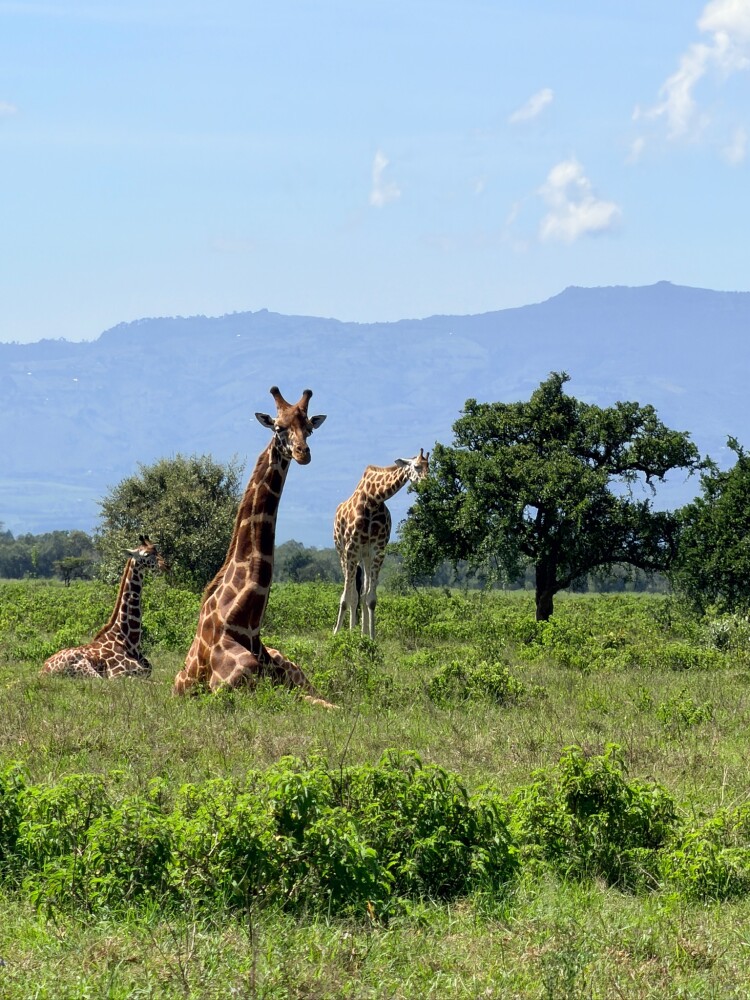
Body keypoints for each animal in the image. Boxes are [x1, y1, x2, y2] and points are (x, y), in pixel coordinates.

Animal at [41, 535, 166, 679]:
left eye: (157, 550)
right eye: (146, 554)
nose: (165, 565)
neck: (129, 642)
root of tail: (42, 671)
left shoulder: (147, 671)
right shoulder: (117, 675)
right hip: (86, 670)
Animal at [173, 386, 337, 707]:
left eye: (309, 429)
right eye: (279, 427)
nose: (303, 453)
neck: (243, 622)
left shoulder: (293, 683)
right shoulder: (228, 690)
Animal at [334, 449, 430, 639]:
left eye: (430, 466)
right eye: (416, 466)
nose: (428, 483)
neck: (373, 499)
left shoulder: (377, 550)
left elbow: (370, 599)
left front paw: (371, 637)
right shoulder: (351, 549)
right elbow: (346, 598)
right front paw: (337, 634)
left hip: (364, 556)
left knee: (361, 594)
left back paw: (360, 633)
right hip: (342, 552)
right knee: (352, 594)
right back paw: (349, 631)